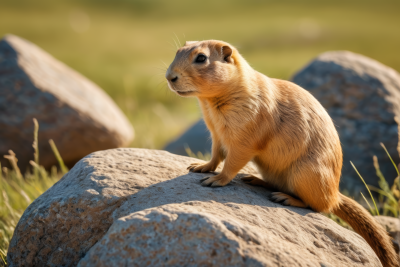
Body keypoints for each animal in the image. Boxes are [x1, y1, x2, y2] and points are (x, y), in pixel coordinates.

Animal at [165, 39, 396, 266]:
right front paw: (199, 167)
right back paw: (254, 180)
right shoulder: (216, 133)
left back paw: (285, 198)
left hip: (306, 175)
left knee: (319, 206)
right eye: (177, 51)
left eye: (201, 58)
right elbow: (216, 154)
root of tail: (335, 194)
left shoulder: (245, 137)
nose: (169, 76)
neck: (211, 103)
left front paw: (215, 180)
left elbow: (232, 160)